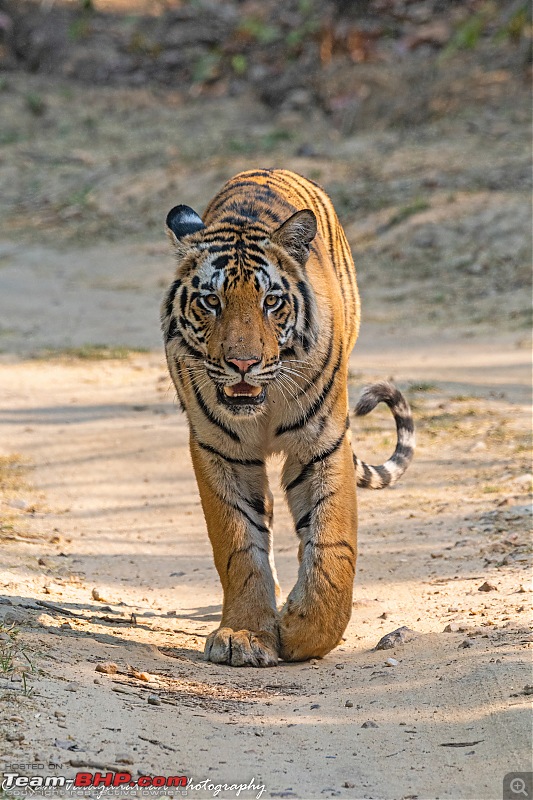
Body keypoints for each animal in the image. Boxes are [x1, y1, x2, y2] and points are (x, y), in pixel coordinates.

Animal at [162, 169, 416, 668]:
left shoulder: (322, 444)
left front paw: (304, 631)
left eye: (271, 302)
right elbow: (238, 544)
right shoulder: (221, 450)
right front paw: (244, 634)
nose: (243, 363)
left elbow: (332, 541)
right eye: (211, 301)